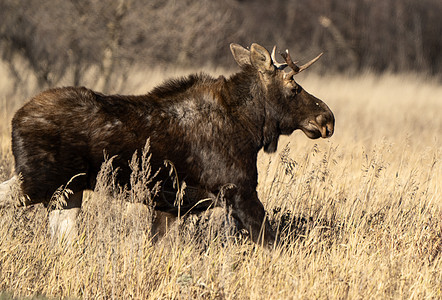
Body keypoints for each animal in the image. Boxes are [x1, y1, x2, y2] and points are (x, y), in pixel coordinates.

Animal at [1, 43, 334, 246]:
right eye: (294, 87)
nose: (327, 118)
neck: (250, 127)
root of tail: (16, 118)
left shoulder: (170, 206)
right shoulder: (239, 191)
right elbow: (271, 242)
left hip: (68, 190)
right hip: (37, 182)